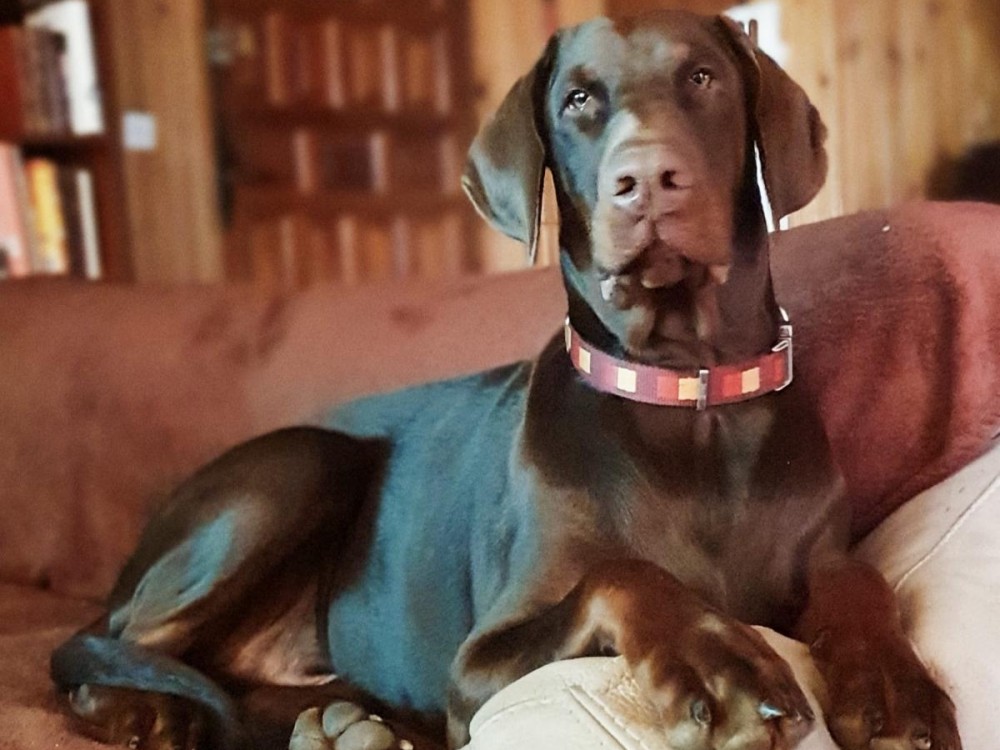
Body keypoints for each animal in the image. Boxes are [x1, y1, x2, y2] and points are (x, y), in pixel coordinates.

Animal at [52, 11, 960, 750]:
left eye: (702, 77)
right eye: (578, 101)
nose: (647, 178)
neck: (687, 394)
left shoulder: (824, 553)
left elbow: (863, 584)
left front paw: (894, 686)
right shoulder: (477, 670)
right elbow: (621, 573)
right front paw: (719, 666)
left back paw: (346, 725)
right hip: (298, 468)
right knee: (113, 646)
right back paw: (146, 712)